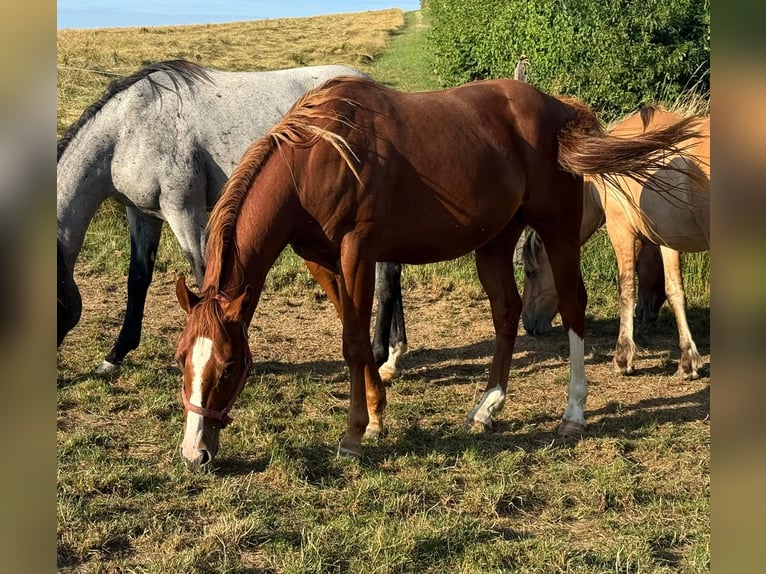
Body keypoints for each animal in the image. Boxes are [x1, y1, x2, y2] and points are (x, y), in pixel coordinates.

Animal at [57, 59, 408, 374]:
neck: (129, 129)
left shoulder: (184, 209)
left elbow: (203, 273)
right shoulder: (142, 214)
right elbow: (138, 279)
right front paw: (114, 355)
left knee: (387, 273)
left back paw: (380, 354)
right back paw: (392, 355)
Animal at [521, 107, 710, 379]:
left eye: (530, 272)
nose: (528, 323)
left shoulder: (620, 231)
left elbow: (626, 290)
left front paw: (622, 358)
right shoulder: (668, 241)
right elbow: (675, 292)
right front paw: (687, 362)